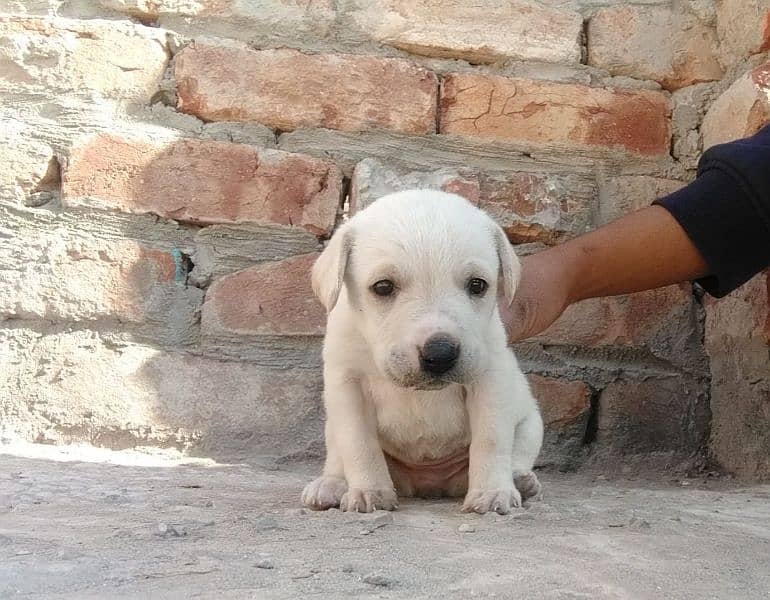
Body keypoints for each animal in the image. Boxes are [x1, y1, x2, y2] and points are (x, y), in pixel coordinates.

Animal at [296, 190, 544, 512]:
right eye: (383, 287)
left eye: (478, 285)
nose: (440, 354)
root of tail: (428, 483)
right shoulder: (347, 385)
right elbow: (359, 443)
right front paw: (369, 491)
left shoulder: (490, 381)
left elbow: (491, 440)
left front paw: (492, 492)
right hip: (333, 427)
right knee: (338, 455)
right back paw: (331, 485)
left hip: (530, 424)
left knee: (518, 454)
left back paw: (521, 481)